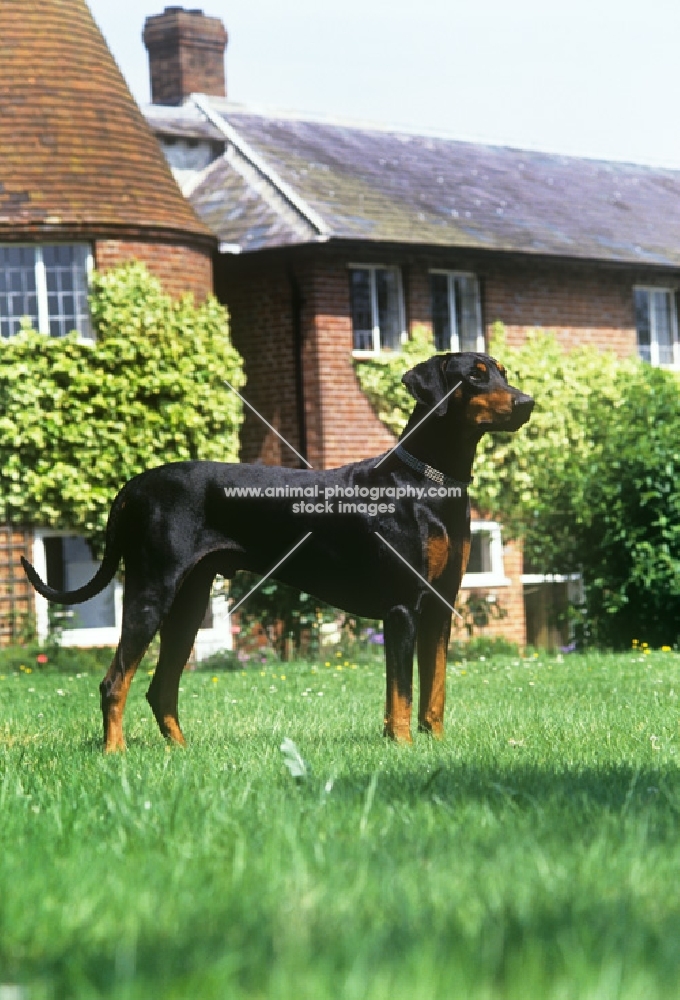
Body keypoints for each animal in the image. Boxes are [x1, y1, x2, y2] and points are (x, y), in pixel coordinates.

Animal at [19, 354, 532, 752]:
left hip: (188, 605)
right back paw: (115, 753)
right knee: (115, 681)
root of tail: (134, 486)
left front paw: (434, 745)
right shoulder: (403, 607)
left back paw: (181, 753)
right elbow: (401, 693)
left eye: (502, 373)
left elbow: (435, 690)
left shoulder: (440, 607)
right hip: (152, 592)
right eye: (475, 376)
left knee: (160, 688)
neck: (426, 483)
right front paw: (404, 746)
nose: (526, 402)